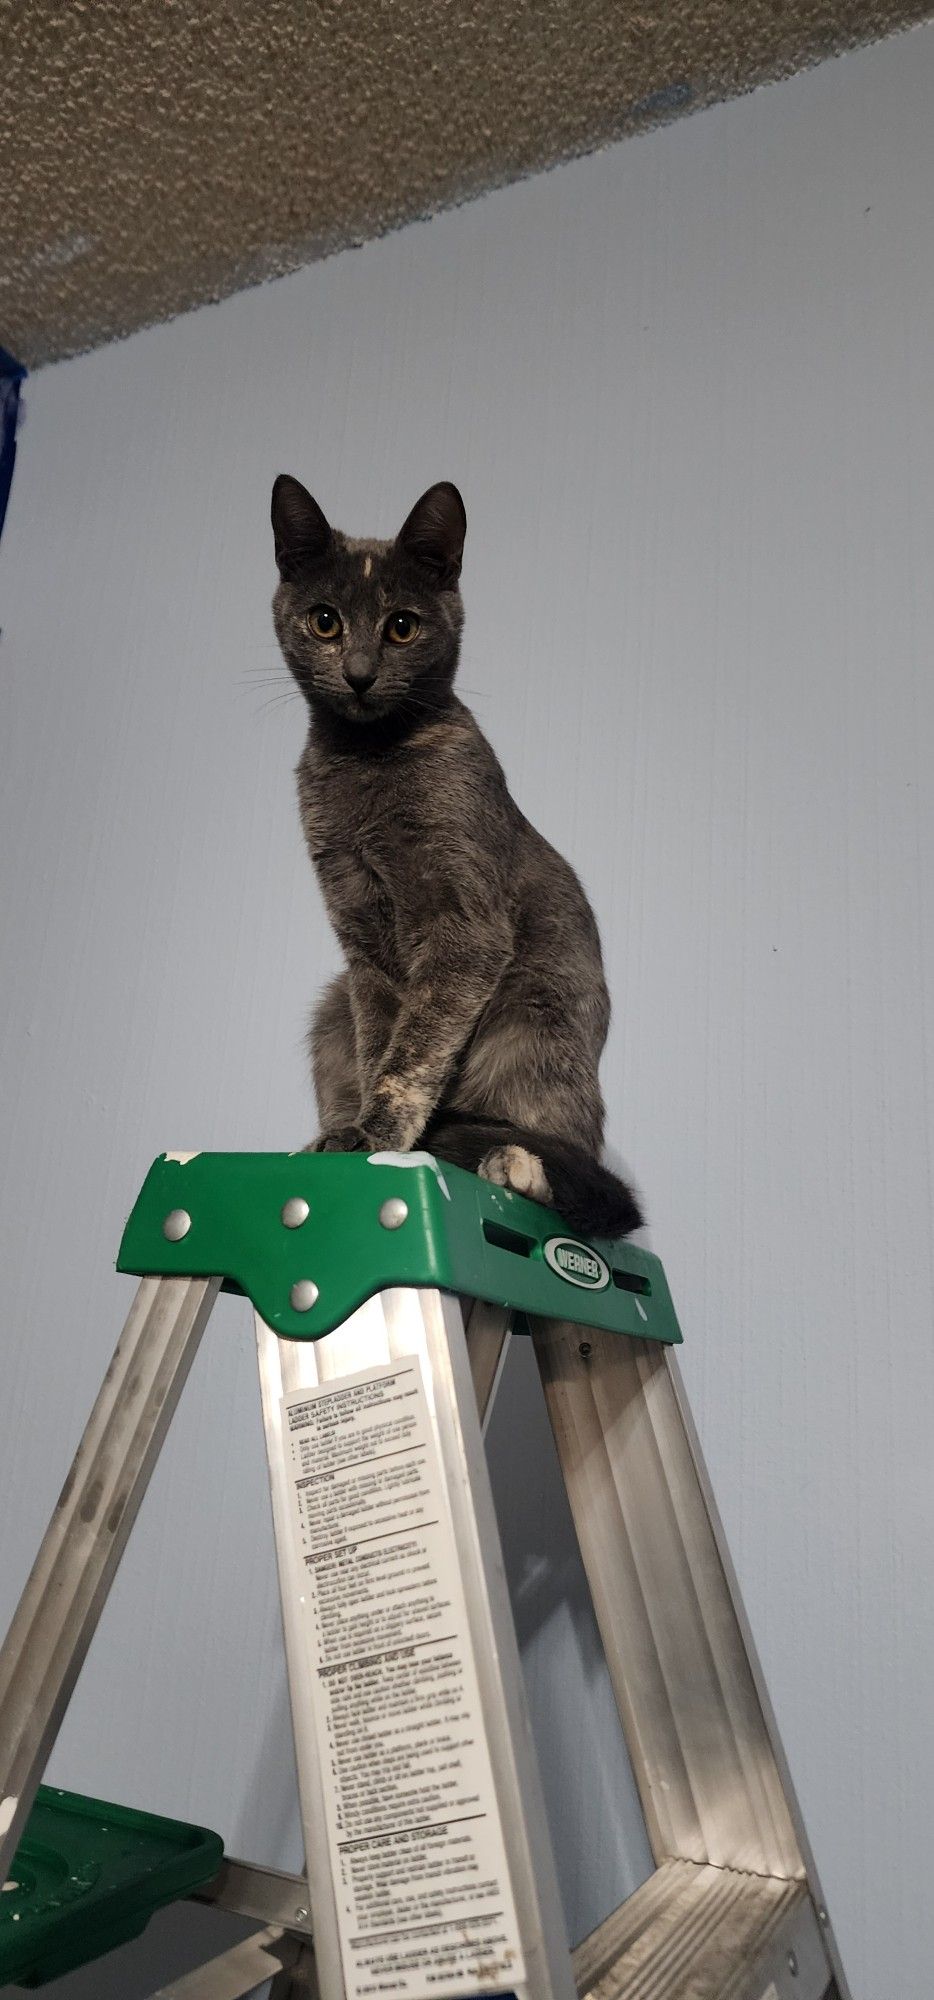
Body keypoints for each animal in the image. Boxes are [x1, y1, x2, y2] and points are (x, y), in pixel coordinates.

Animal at [272, 478, 644, 1240]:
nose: (358, 673)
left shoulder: (463, 926)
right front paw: (355, 1133)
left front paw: (380, 1134)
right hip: (331, 1006)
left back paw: (513, 1167)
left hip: (533, 1019)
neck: (366, 768)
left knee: (578, 1180)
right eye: (325, 622)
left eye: (401, 626)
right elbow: (381, 1042)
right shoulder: (360, 937)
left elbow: (413, 1052)